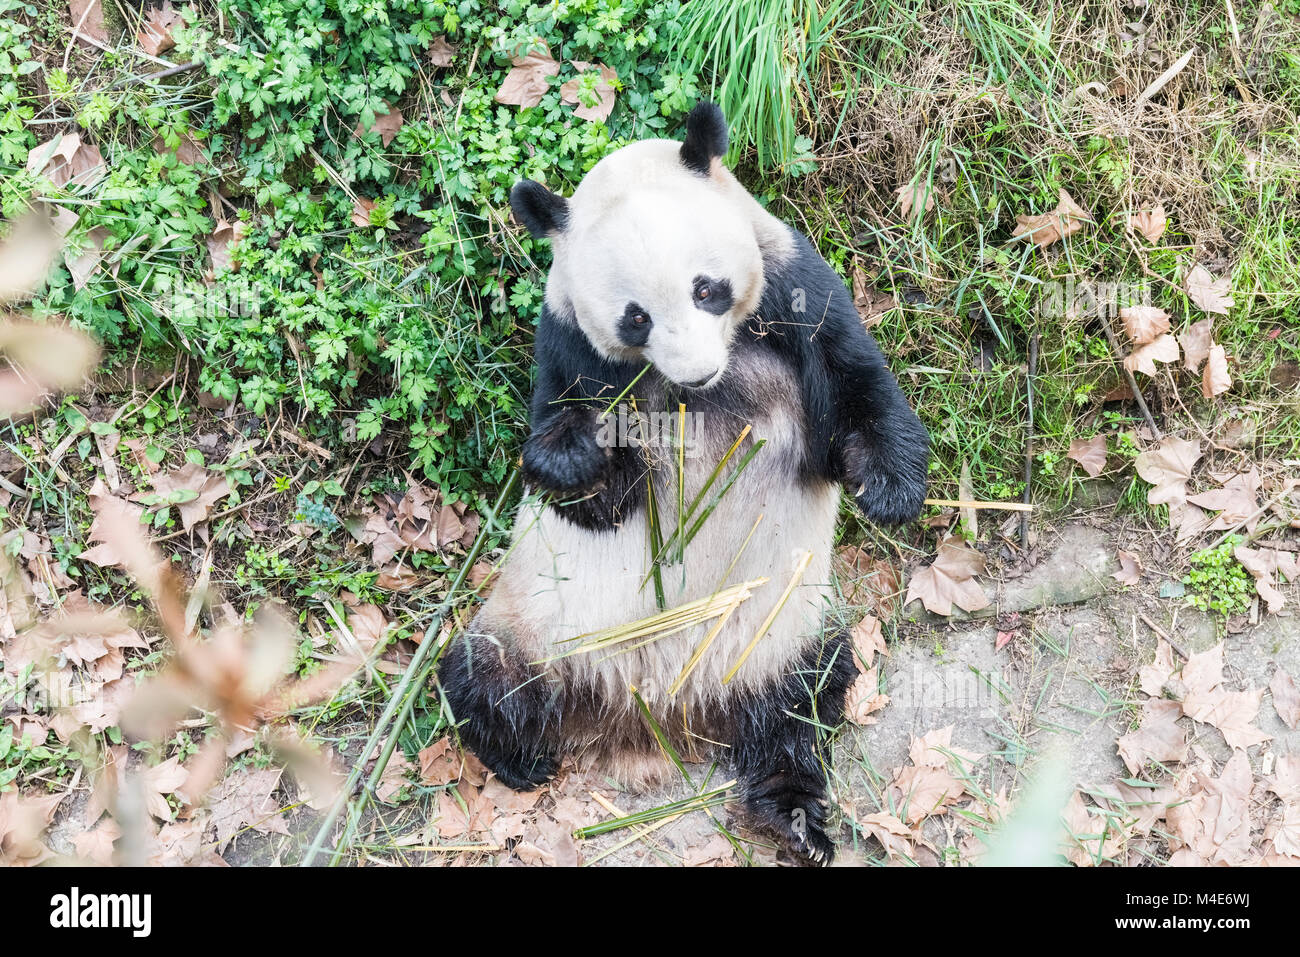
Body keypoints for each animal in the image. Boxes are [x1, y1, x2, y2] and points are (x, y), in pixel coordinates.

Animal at [441, 100, 930, 863]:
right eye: (634, 316)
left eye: (708, 289)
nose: (696, 372)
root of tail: (655, 718)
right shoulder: (570, 343)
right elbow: (576, 468)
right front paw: (578, 460)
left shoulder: (794, 290)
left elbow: (855, 386)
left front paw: (890, 489)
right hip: (536, 628)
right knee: (475, 678)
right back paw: (521, 757)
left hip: (778, 637)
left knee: (808, 701)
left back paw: (794, 816)